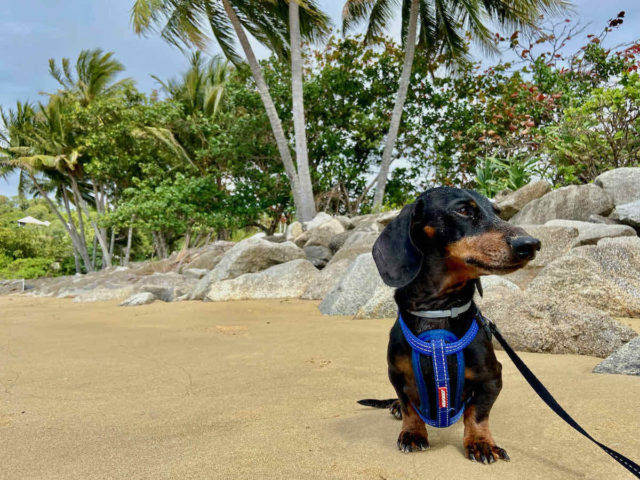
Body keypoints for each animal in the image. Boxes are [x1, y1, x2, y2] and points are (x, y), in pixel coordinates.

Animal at [360, 186, 540, 464]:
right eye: (464, 210)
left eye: (497, 212)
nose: (531, 245)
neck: (438, 311)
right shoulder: (396, 374)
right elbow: (410, 407)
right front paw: (412, 433)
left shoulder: (492, 377)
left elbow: (477, 413)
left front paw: (481, 443)